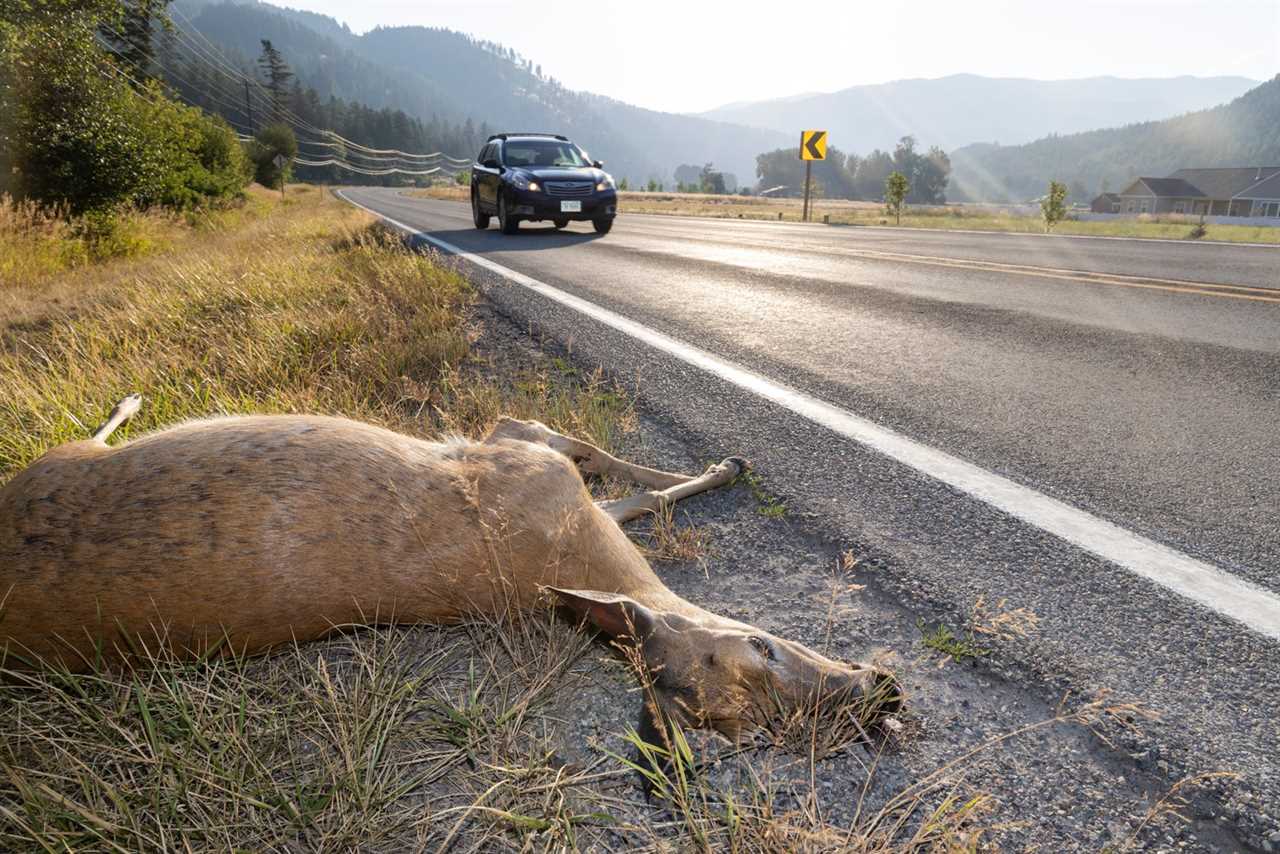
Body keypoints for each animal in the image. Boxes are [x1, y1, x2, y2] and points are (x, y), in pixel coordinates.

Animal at [0, 396, 901, 737]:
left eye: (764, 727)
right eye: (763, 646)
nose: (880, 692)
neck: (572, 559)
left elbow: (634, 494)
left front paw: (721, 467)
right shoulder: (516, 450)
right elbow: (604, 458)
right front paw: (728, 463)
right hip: (56, 463)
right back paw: (132, 401)